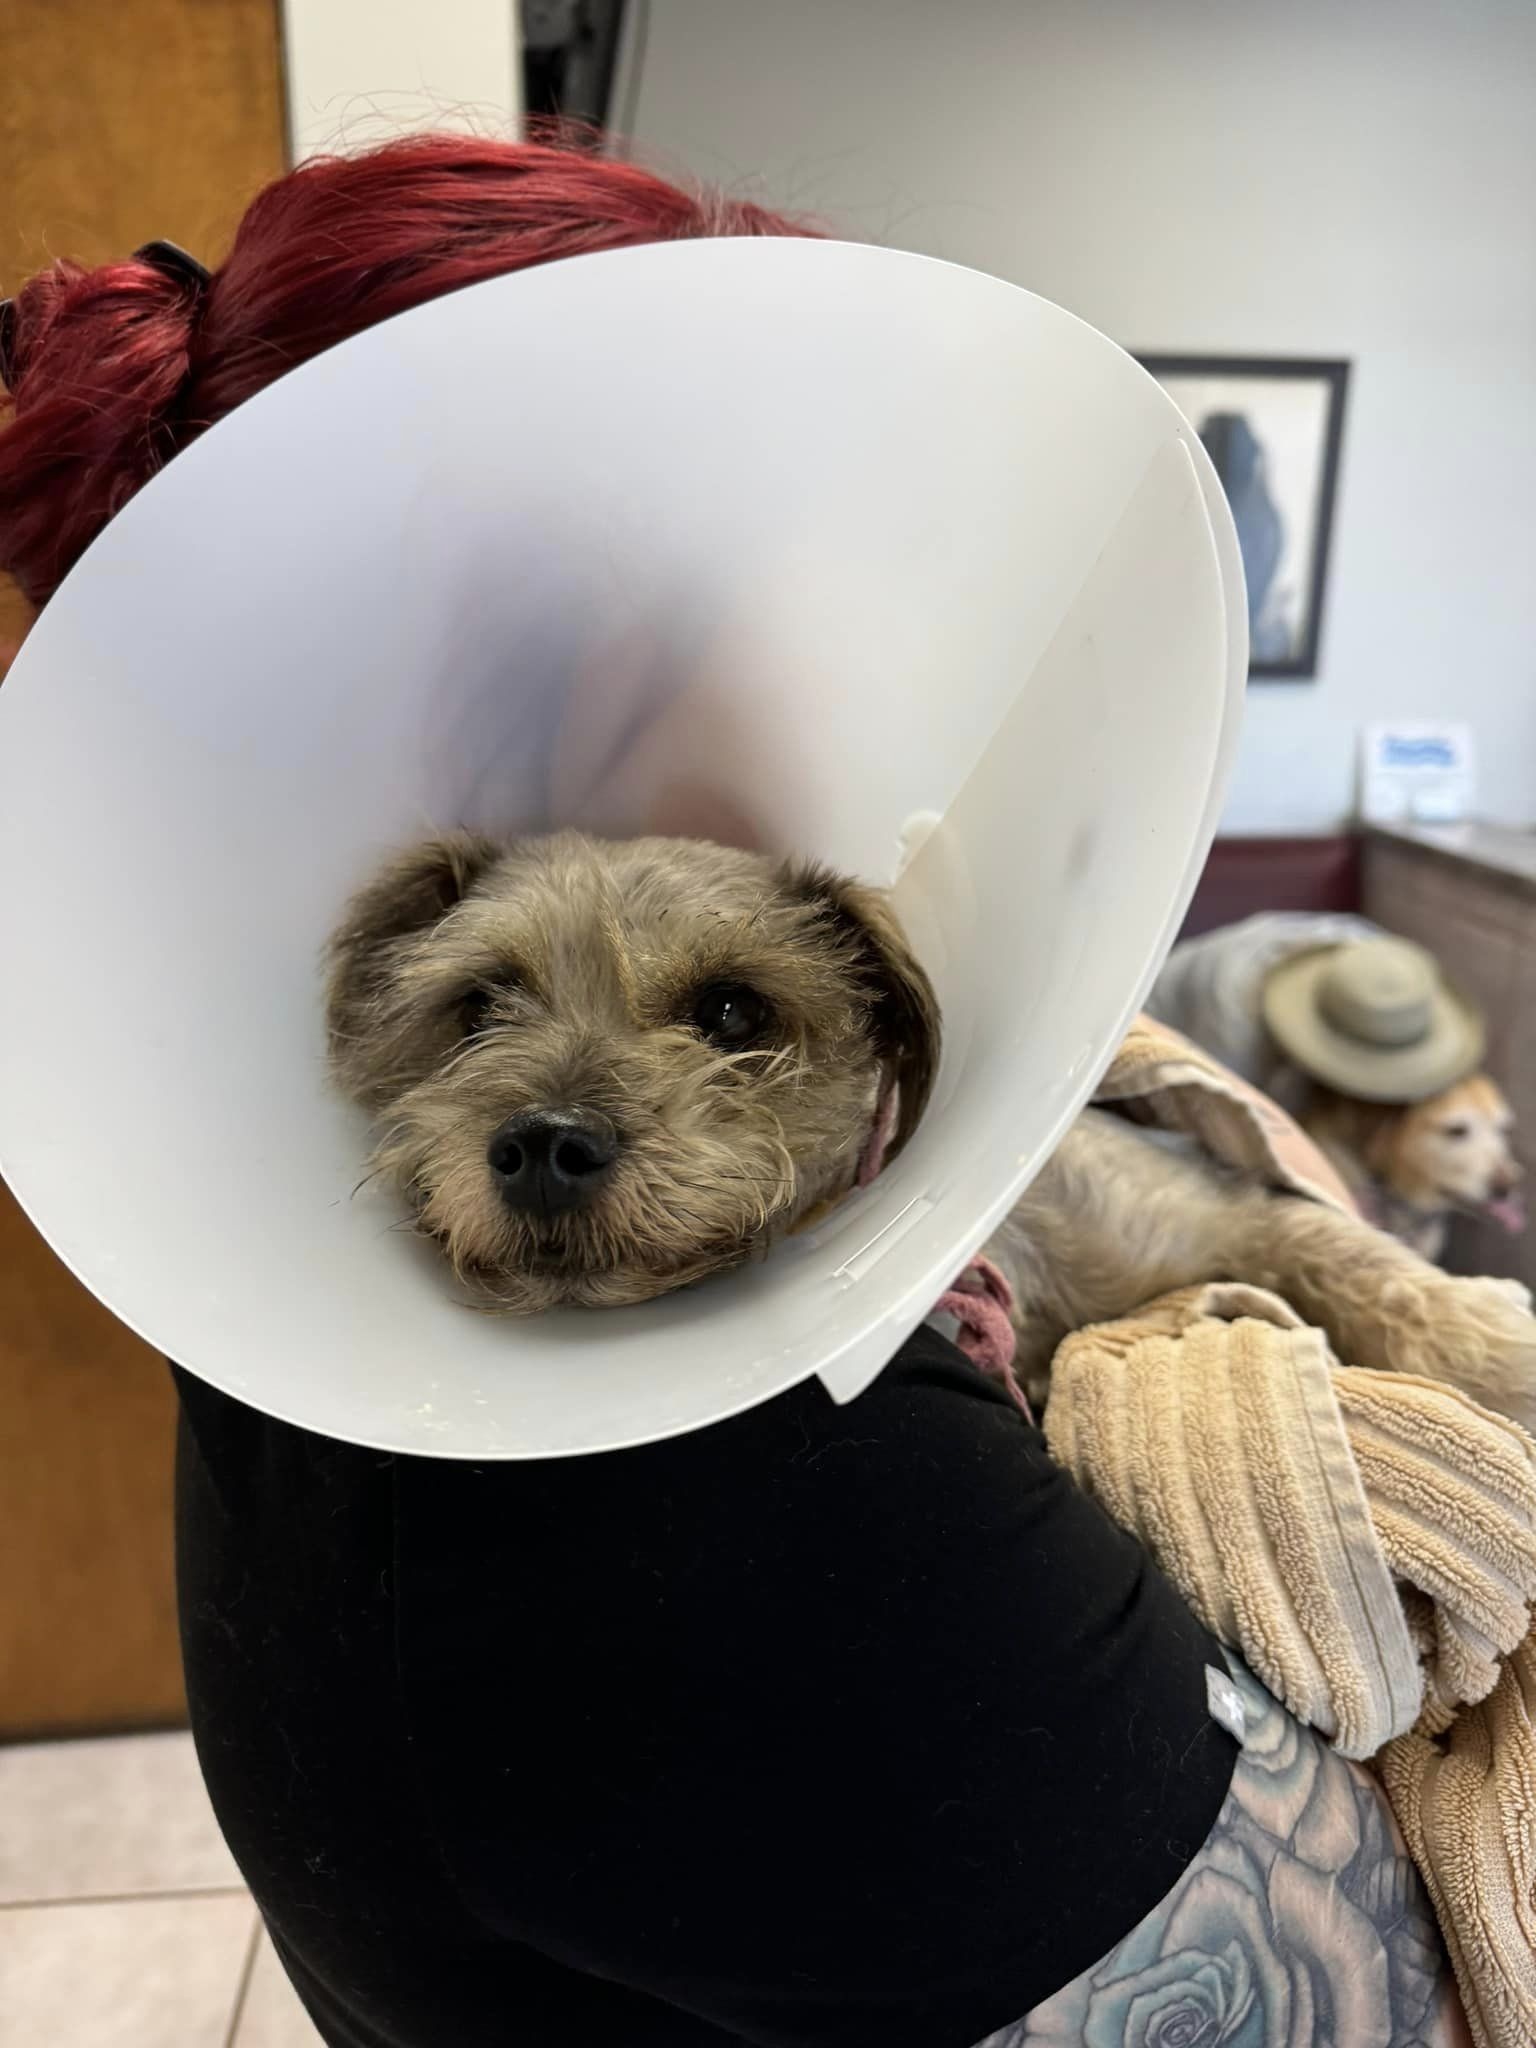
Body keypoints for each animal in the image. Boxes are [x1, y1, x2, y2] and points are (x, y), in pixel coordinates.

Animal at [327, 827, 1536, 1425]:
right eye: (478, 1006)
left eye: (733, 1011)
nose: (541, 1145)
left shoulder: (1241, 1210)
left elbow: (1377, 1274)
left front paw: (1504, 1354)